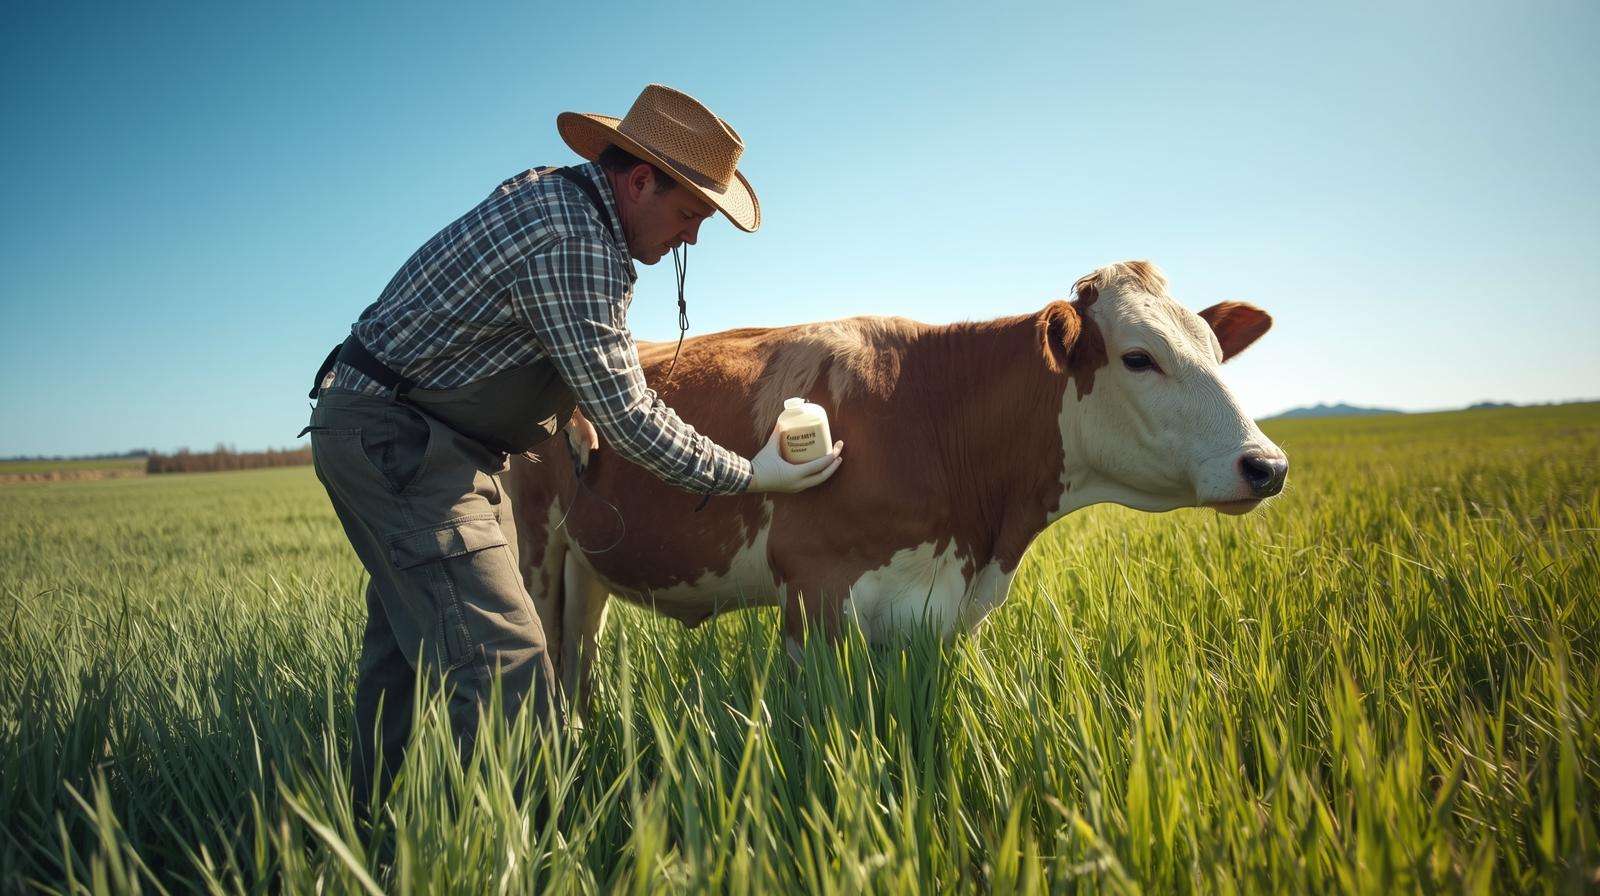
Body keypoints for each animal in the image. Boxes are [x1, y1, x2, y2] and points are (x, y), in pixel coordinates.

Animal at [502, 260, 1287, 712]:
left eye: (1216, 351)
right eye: (1138, 358)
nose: (1267, 465)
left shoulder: (931, 613)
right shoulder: (813, 591)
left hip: (586, 572)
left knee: (576, 663)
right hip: (533, 557)